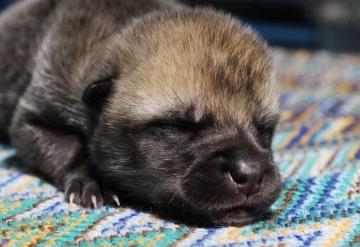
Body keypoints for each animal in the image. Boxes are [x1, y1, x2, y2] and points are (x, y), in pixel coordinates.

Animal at [0, 0, 282, 226]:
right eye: (177, 126)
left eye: (265, 129)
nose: (251, 174)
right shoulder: (36, 113)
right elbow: (66, 147)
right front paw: (92, 179)